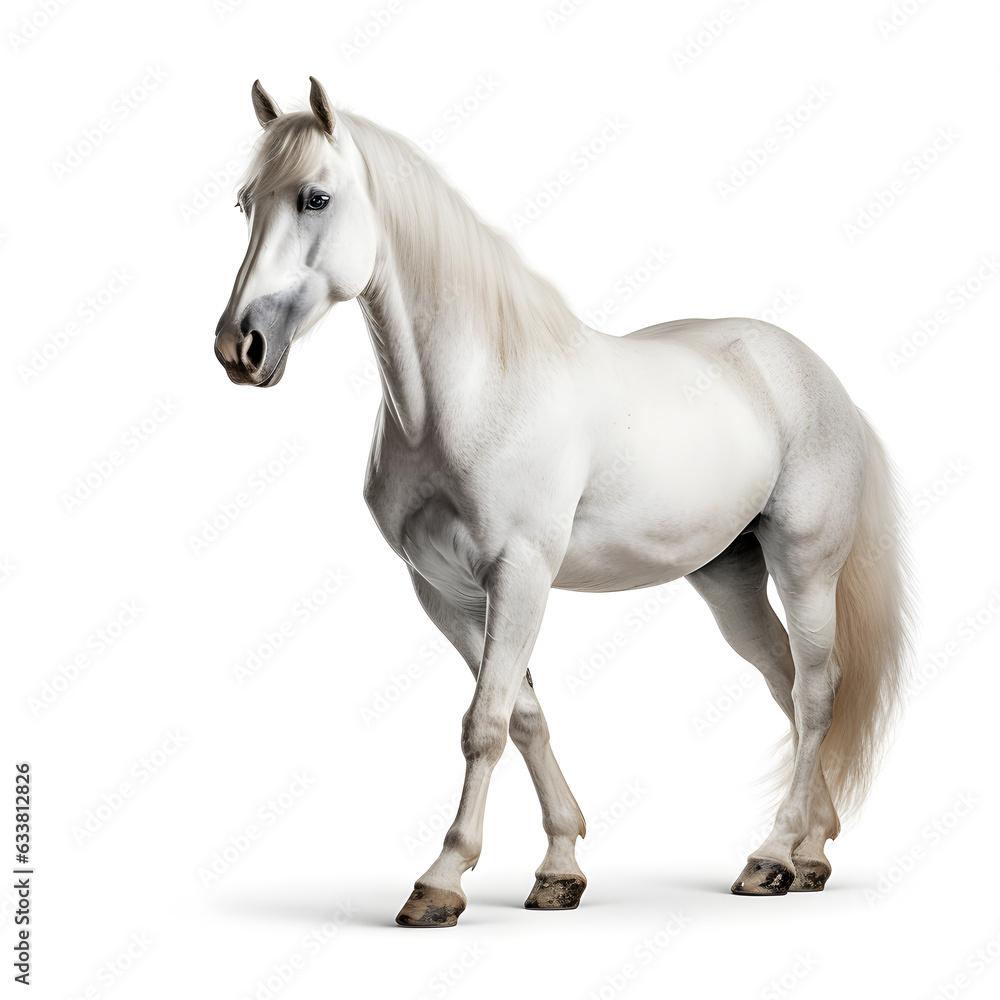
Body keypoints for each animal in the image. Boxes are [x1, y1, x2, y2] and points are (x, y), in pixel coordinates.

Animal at [214, 77, 913, 927]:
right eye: (245, 202)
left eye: (314, 197)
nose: (239, 347)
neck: (472, 389)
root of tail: (819, 378)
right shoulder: (446, 591)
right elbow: (522, 716)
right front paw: (558, 869)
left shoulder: (519, 575)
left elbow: (483, 724)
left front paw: (441, 881)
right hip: (729, 579)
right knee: (784, 680)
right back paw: (811, 850)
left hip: (805, 564)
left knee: (815, 691)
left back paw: (771, 857)